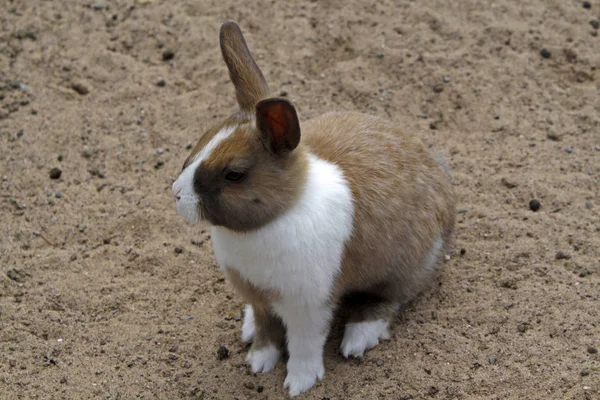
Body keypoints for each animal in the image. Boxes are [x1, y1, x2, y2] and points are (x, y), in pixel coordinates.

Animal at [171, 21, 458, 396]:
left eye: (234, 174)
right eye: (201, 140)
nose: (176, 194)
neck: (276, 217)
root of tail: (443, 181)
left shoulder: (309, 306)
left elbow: (305, 345)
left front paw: (299, 383)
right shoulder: (259, 297)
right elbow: (266, 331)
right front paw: (259, 361)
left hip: (403, 270)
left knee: (388, 301)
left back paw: (357, 338)